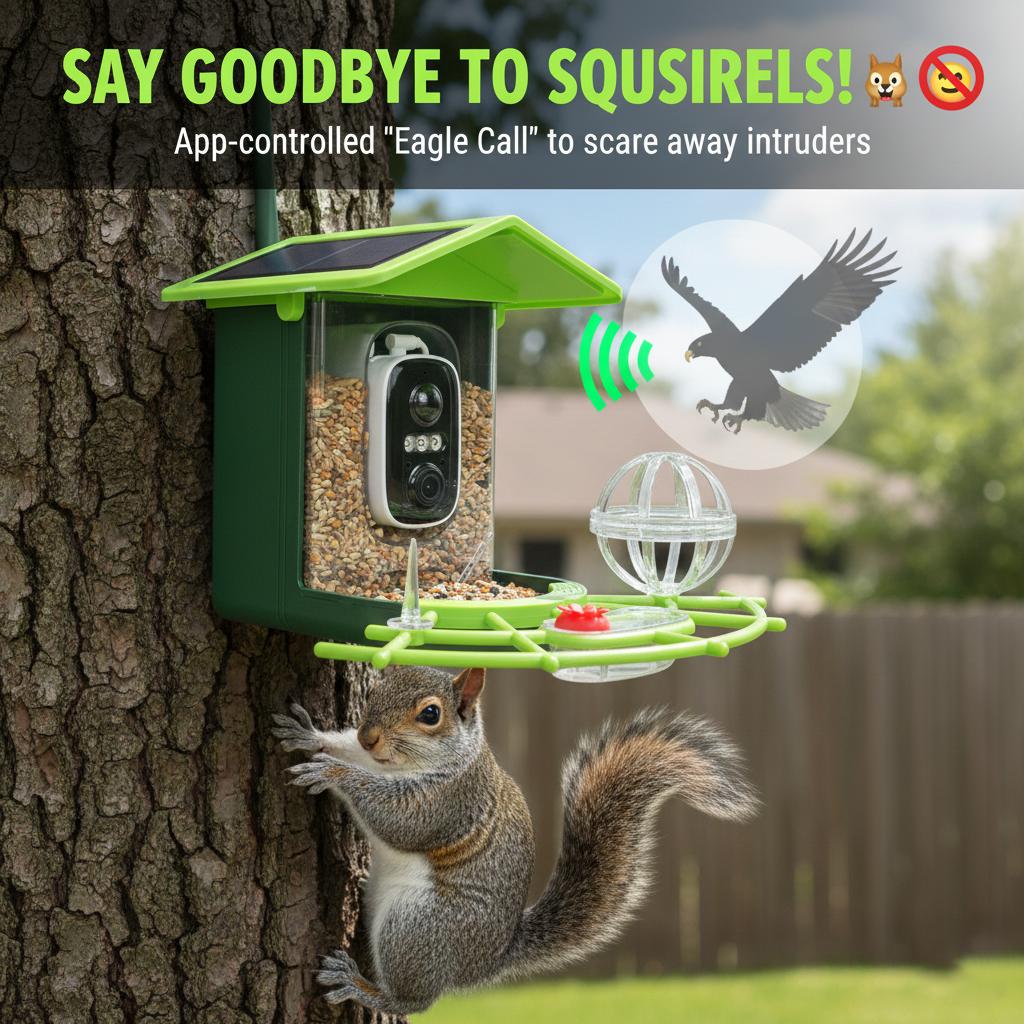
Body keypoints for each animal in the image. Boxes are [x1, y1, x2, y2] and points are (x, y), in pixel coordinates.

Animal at [272, 665, 758, 1015]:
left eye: (430, 714)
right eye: (373, 691)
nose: (369, 736)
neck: (397, 766)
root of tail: (490, 959)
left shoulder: (451, 802)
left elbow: (399, 820)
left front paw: (334, 772)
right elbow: (345, 750)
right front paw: (310, 736)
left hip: (418, 926)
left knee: (415, 1000)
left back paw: (360, 986)